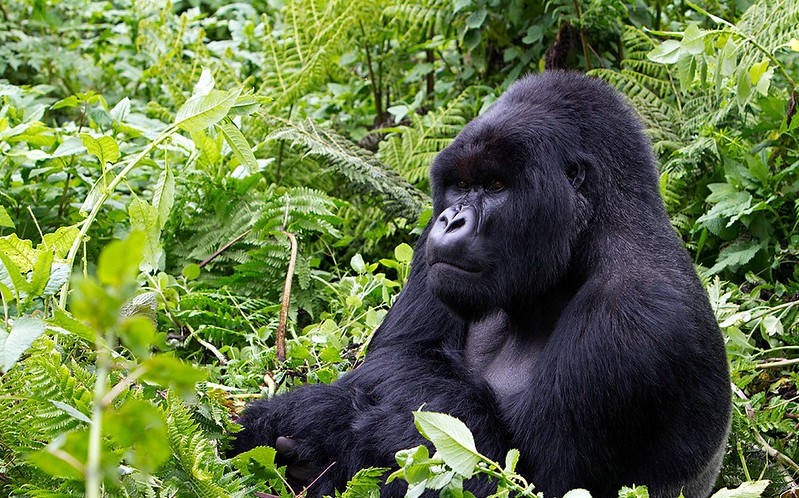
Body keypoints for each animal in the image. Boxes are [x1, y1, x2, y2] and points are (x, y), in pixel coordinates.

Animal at [230, 71, 732, 498]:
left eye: (494, 185)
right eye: (459, 184)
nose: (451, 220)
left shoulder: (634, 317)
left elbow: (519, 480)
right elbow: (400, 357)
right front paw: (311, 418)